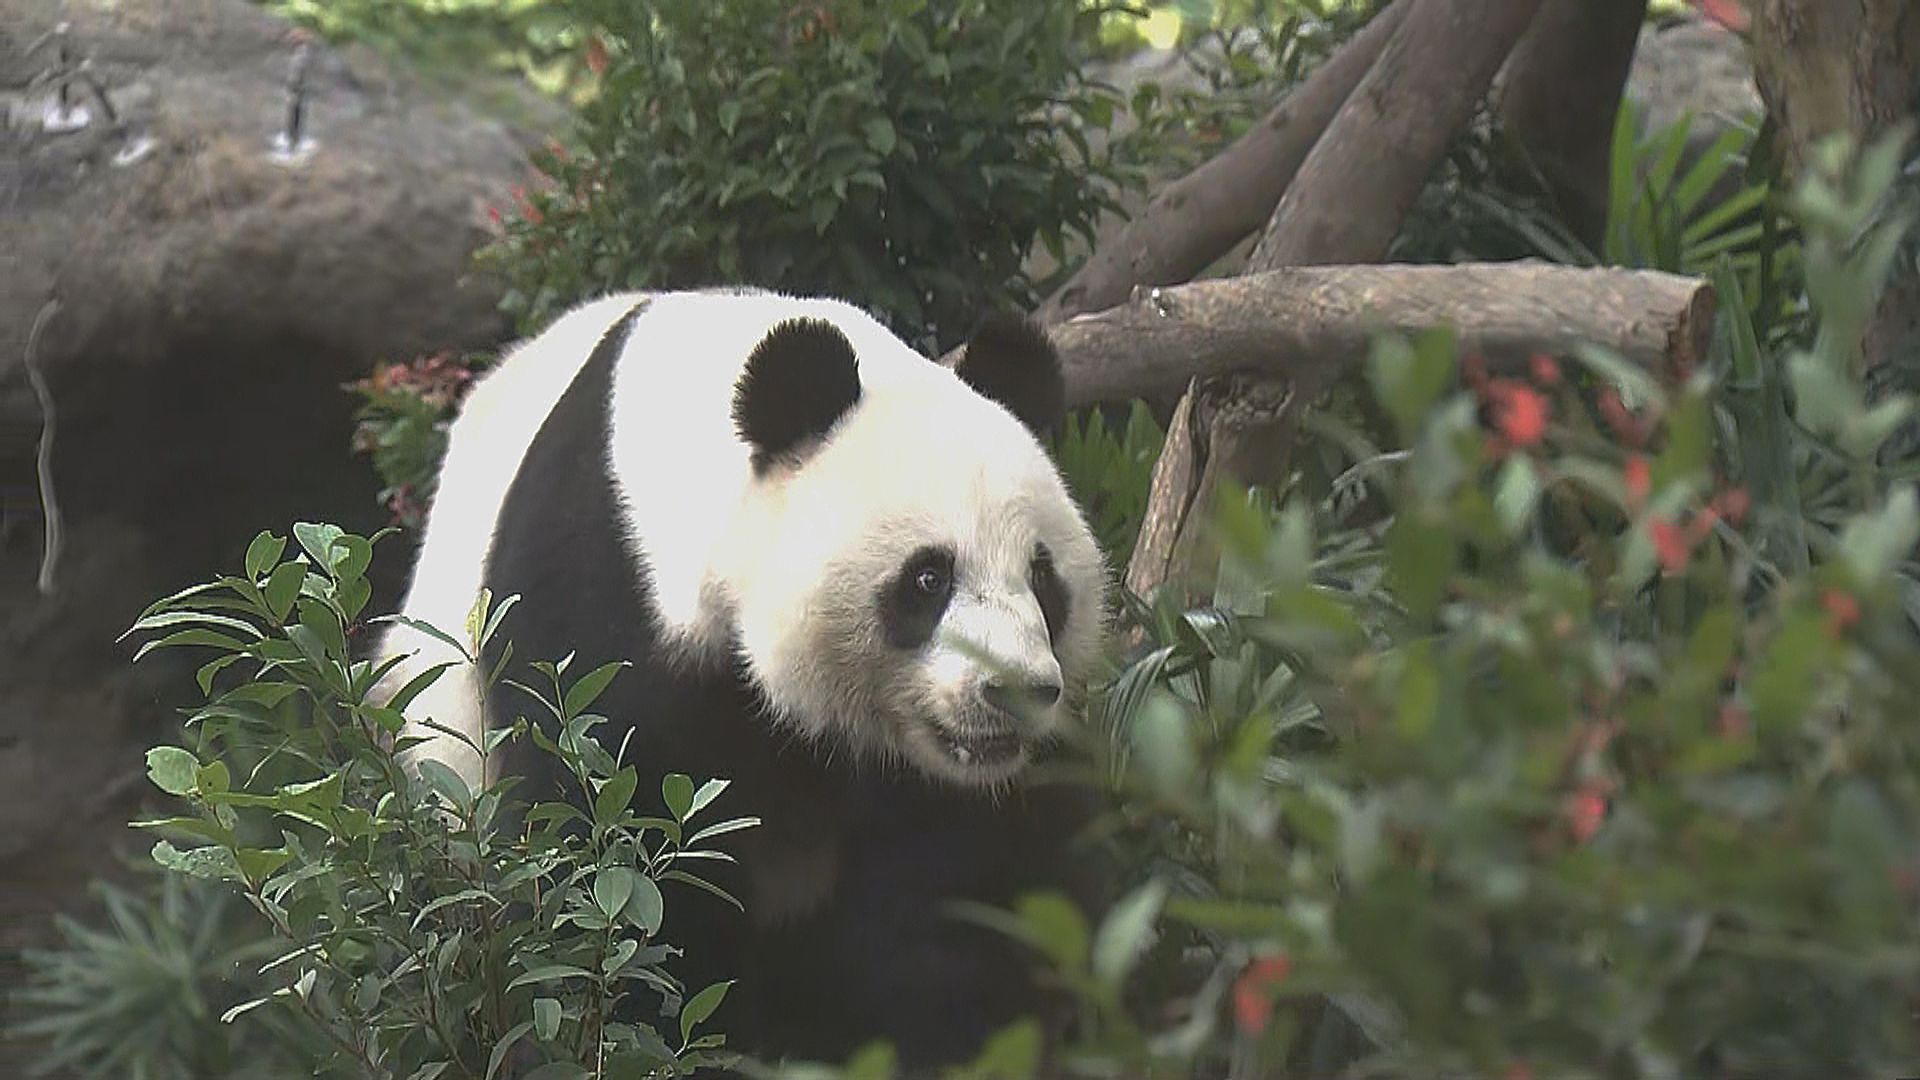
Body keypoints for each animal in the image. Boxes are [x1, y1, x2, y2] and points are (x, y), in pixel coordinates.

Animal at [374, 286, 1113, 1068]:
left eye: (1043, 579)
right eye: (928, 577)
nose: (1017, 691)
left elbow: (973, 884)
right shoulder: (598, 601)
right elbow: (619, 870)